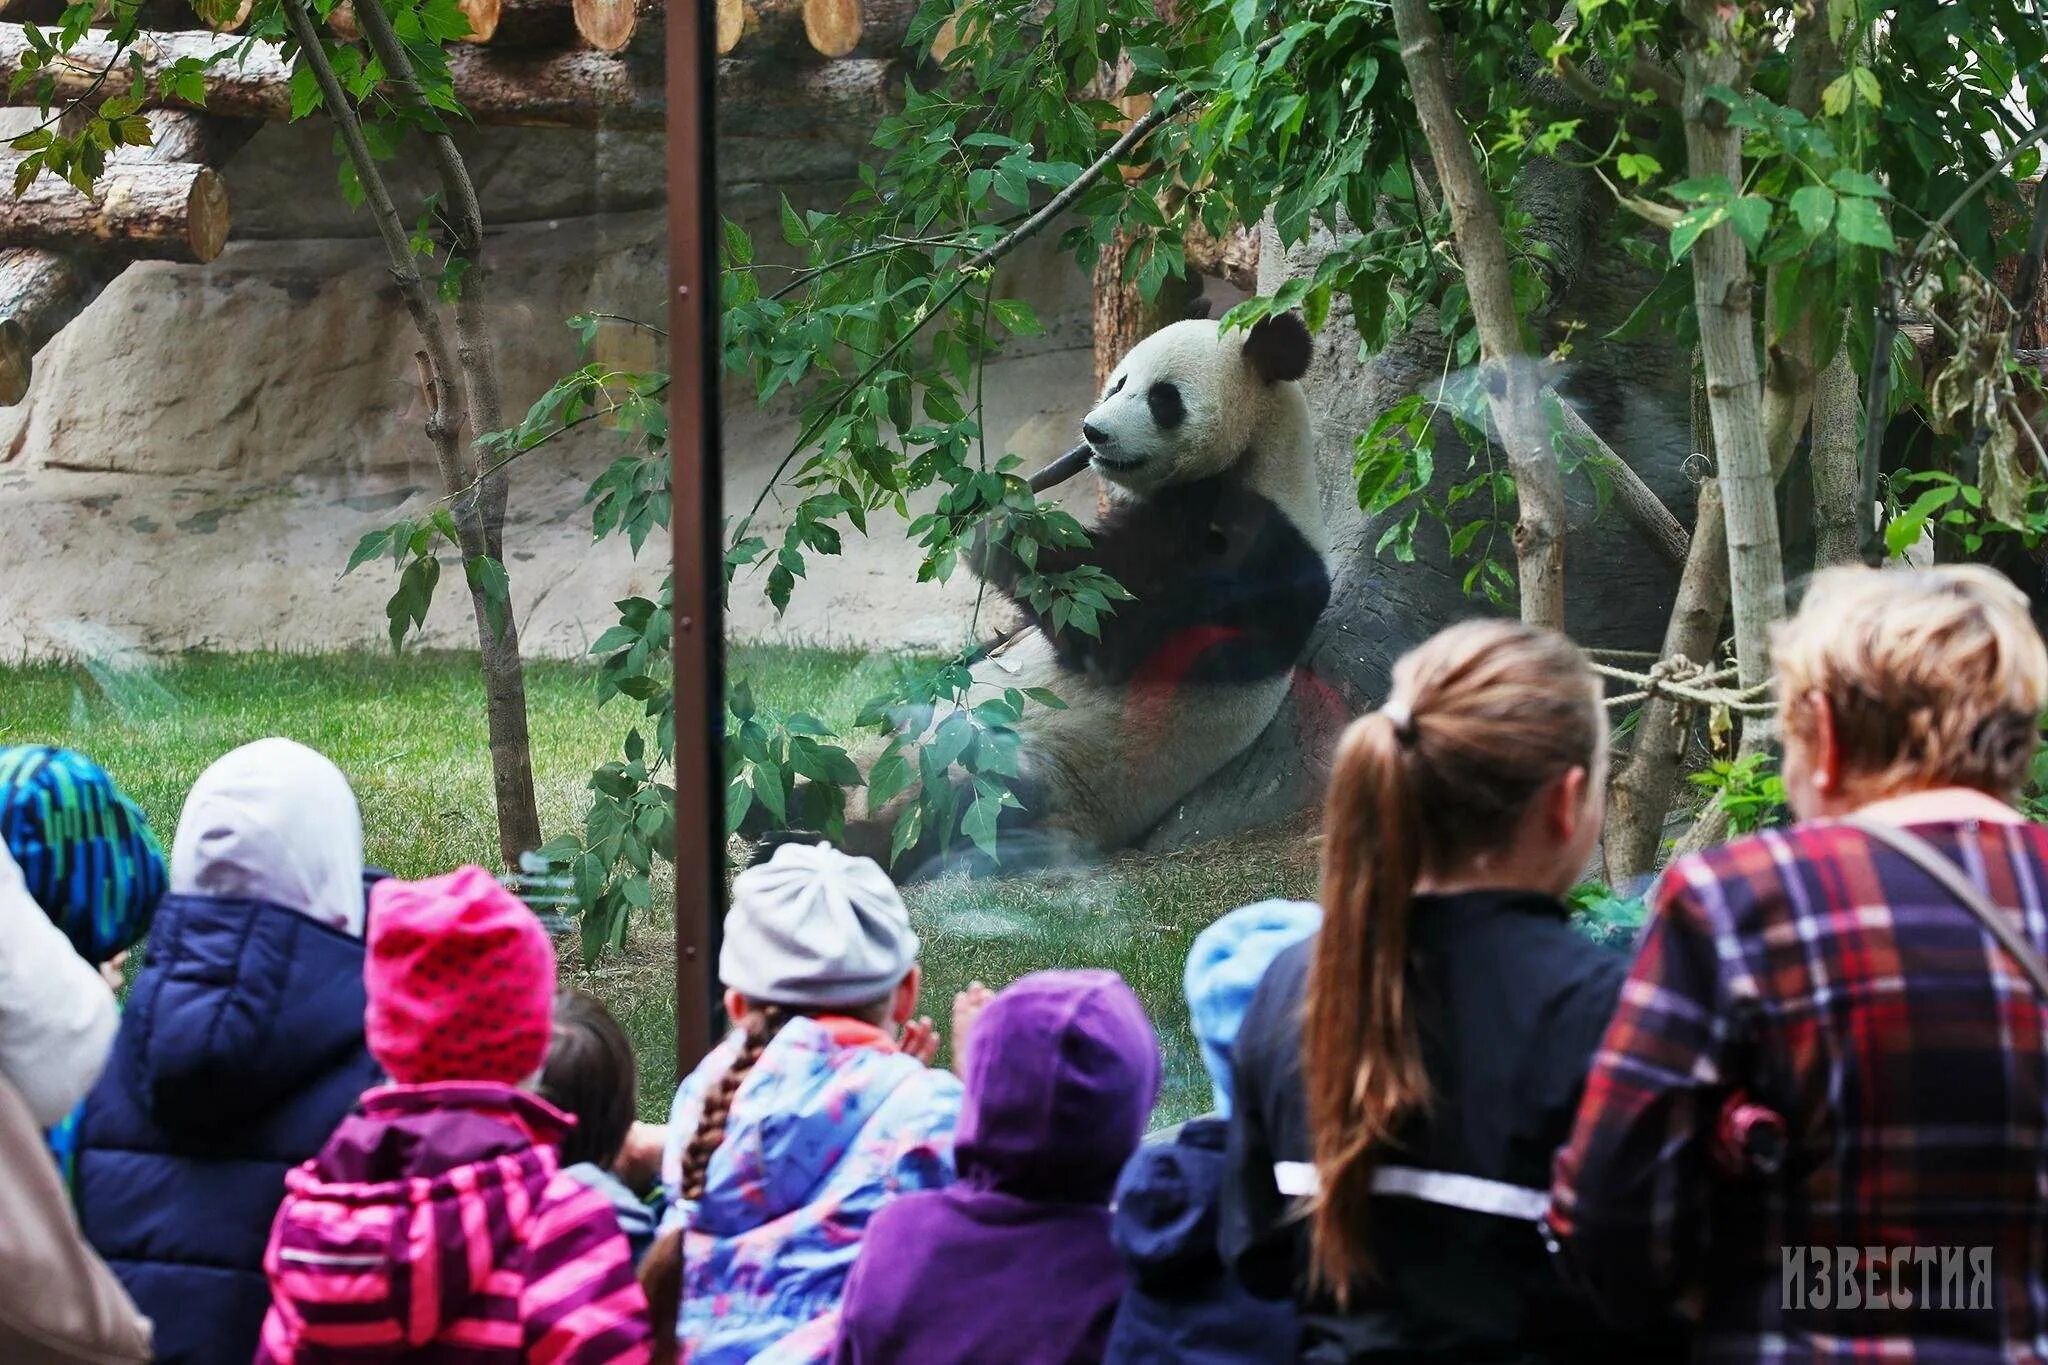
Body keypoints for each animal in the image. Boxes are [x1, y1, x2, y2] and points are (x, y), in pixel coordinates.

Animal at [843, 311, 1327, 875]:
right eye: (1118, 383)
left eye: (1163, 398)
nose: (1093, 431)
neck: (1264, 454)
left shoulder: (1250, 550)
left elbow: (1106, 632)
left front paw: (998, 522)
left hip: (1021, 767)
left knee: (958, 806)